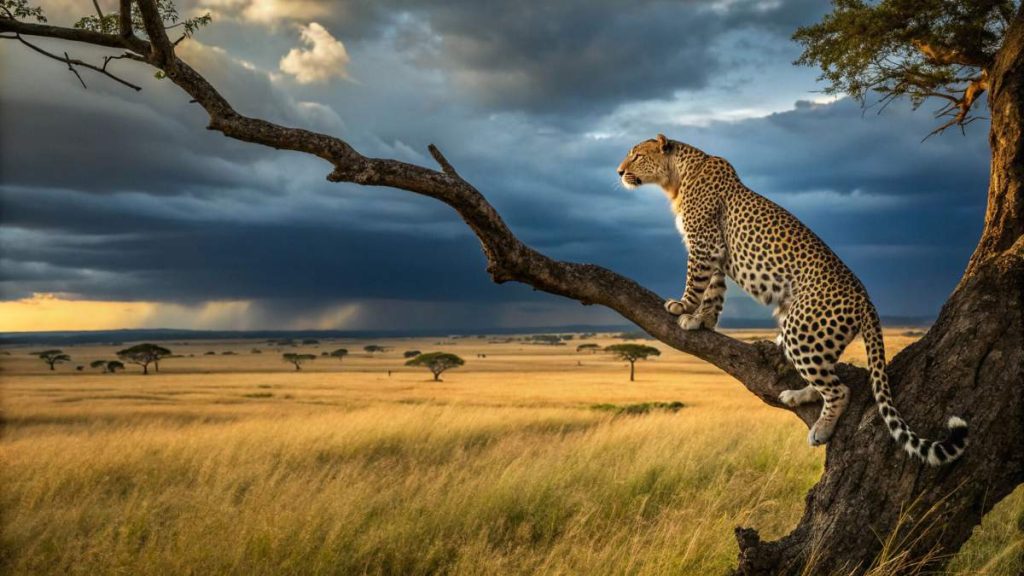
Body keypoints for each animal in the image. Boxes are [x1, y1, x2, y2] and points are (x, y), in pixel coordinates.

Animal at [617, 134, 967, 465]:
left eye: (637, 155)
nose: (620, 172)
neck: (676, 178)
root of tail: (866, 300)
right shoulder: (714, 252)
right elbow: (714, 292)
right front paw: (703, 320)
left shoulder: (705, 243)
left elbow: (696, 281)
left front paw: (684, 307)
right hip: (813, 335)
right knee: (827, 374)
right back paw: (800, 395)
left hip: (801, 329)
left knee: (840, 388)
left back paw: (822, 428)